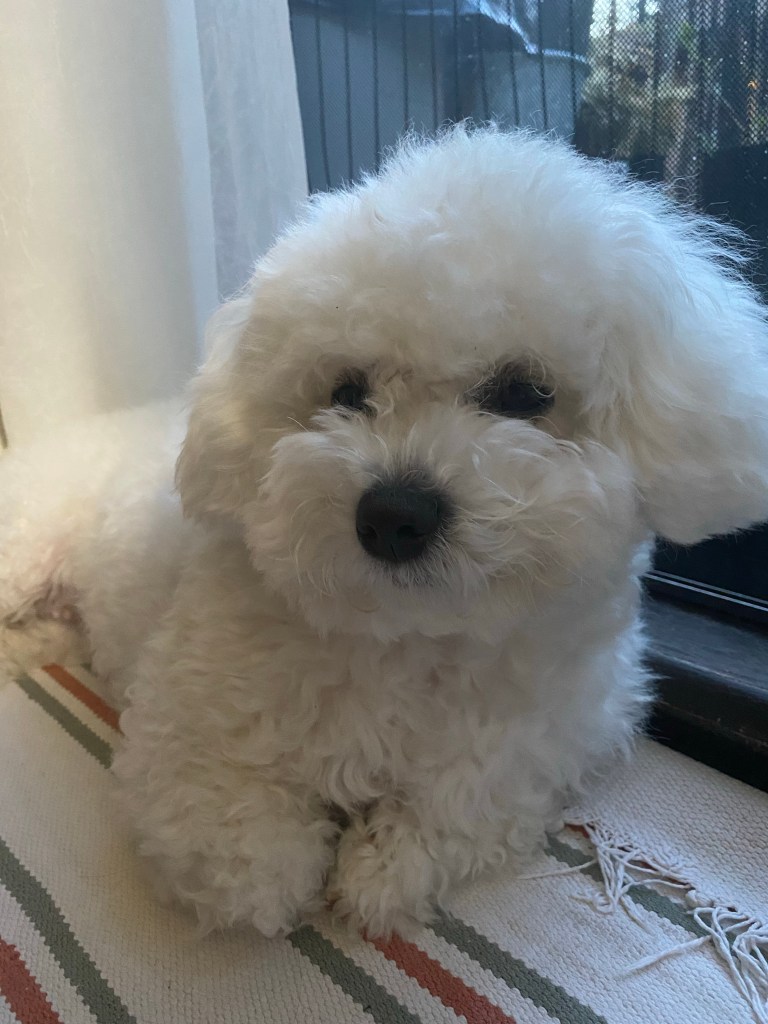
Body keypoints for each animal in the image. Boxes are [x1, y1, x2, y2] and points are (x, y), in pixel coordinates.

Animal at [2, 127, 767, 939]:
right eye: (347, 391)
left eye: (525, 393)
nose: (393, 515)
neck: (410, 638)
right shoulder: (184, 726)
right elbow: (243, 852)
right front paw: (291, 875)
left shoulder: (556, 733)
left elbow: (466, 801)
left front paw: (379, 873)